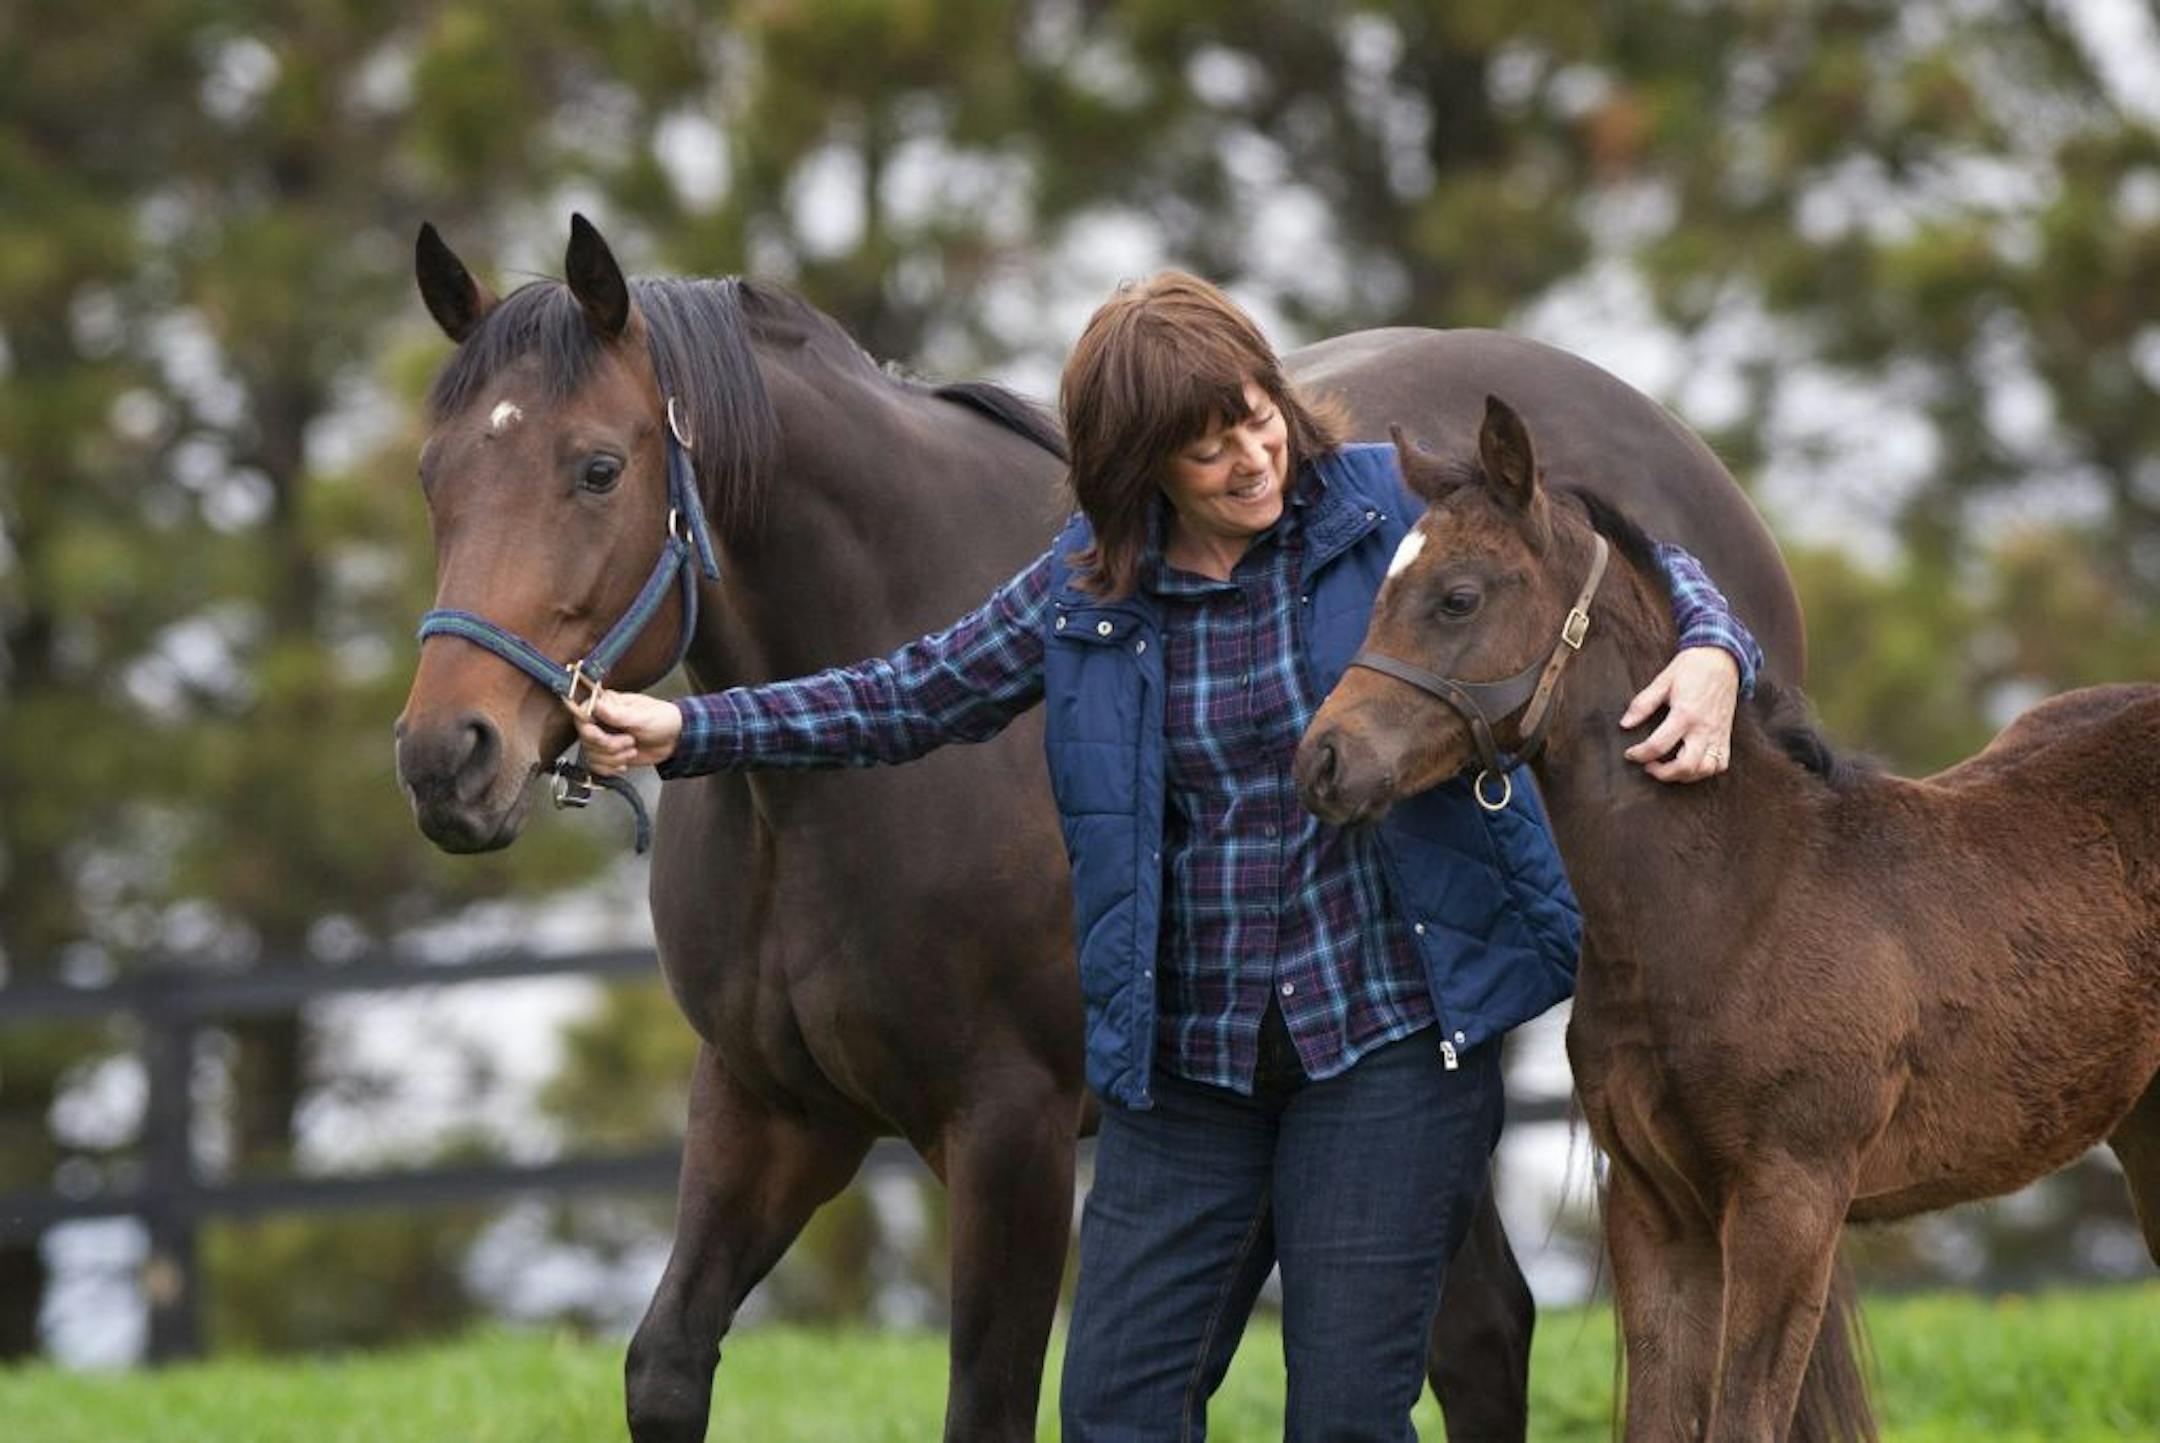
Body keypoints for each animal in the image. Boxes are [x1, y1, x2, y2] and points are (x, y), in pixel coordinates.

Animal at [1295, 398, 2160, 1442]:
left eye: (1458, 597)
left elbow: (1745, 1415)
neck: (1734, 900)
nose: (1322, 762)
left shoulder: (1790, 1199)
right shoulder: (1655, 1208)